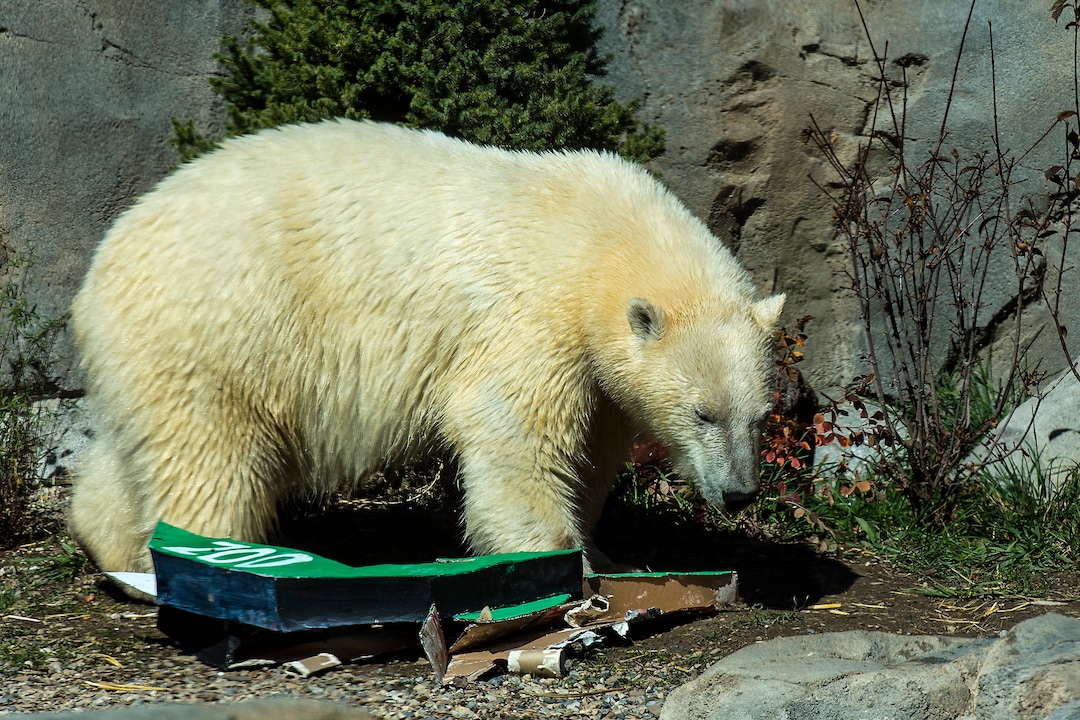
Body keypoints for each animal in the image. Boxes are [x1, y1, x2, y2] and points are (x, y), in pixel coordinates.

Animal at [68, 119, 784, 575]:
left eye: (758, 416)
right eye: (703, 413)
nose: (740, 494)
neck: (598, 238)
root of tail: (99, 272)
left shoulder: (599, 369)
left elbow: (590, 445)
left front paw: (601, 548)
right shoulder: (532, 319)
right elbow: (511, 428)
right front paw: (559, 556)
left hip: (160, 353)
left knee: (143, 449)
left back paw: (122, 550)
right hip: (222, 331)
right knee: (214, 460)